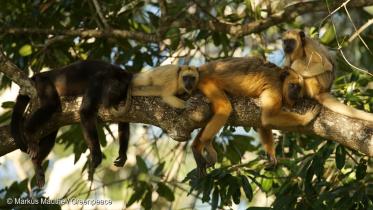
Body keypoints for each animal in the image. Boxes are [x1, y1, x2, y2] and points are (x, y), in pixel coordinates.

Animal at [190, 57, 318, 176]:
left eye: (299, 88)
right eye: (293, 85)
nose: (296, 93)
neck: (280, 79)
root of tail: (202, 69)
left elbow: (263, 122)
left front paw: (271, 155)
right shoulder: (274, 87)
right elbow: (268, 117)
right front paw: (306, 118)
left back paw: (196, 148)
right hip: (206, 82)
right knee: (224, 107)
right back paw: (206, 141)